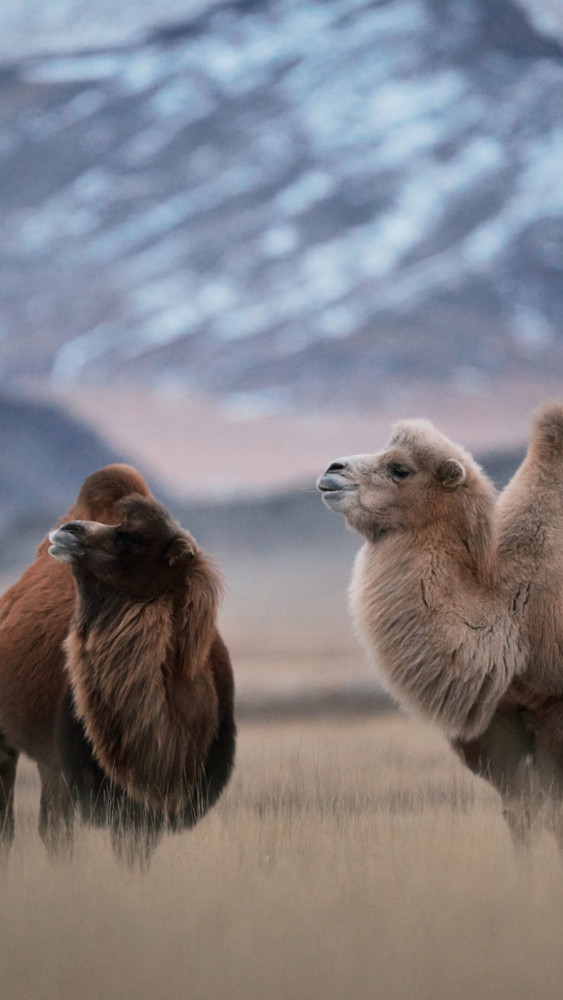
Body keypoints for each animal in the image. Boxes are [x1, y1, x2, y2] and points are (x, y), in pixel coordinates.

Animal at [0, 465, 235, 864]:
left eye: (130, 538)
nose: (68, 531)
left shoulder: (150, 802)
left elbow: (135, 851)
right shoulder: (73, 771)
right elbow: (60, 833)